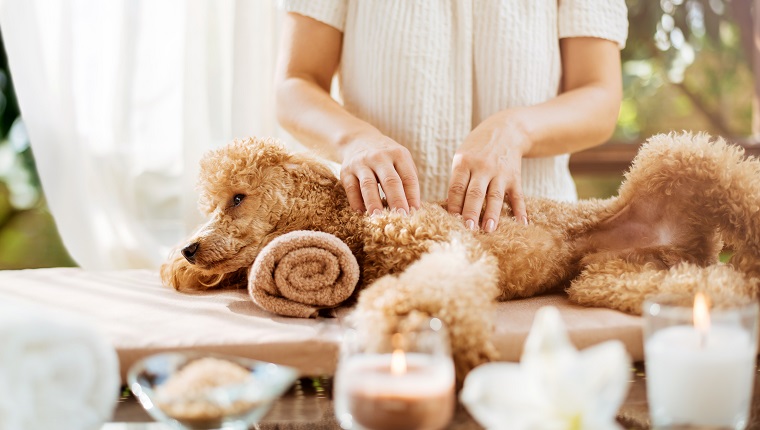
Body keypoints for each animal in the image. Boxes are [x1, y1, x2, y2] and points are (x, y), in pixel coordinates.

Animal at [160, 133, 760, 378]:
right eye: (211, 204)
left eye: (237, 198)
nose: (189, 247)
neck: (353, 222)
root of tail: (690, 242)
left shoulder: (453, 248)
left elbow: (435, 289)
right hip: (610, 277)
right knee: (707, 283)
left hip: (679, 156)